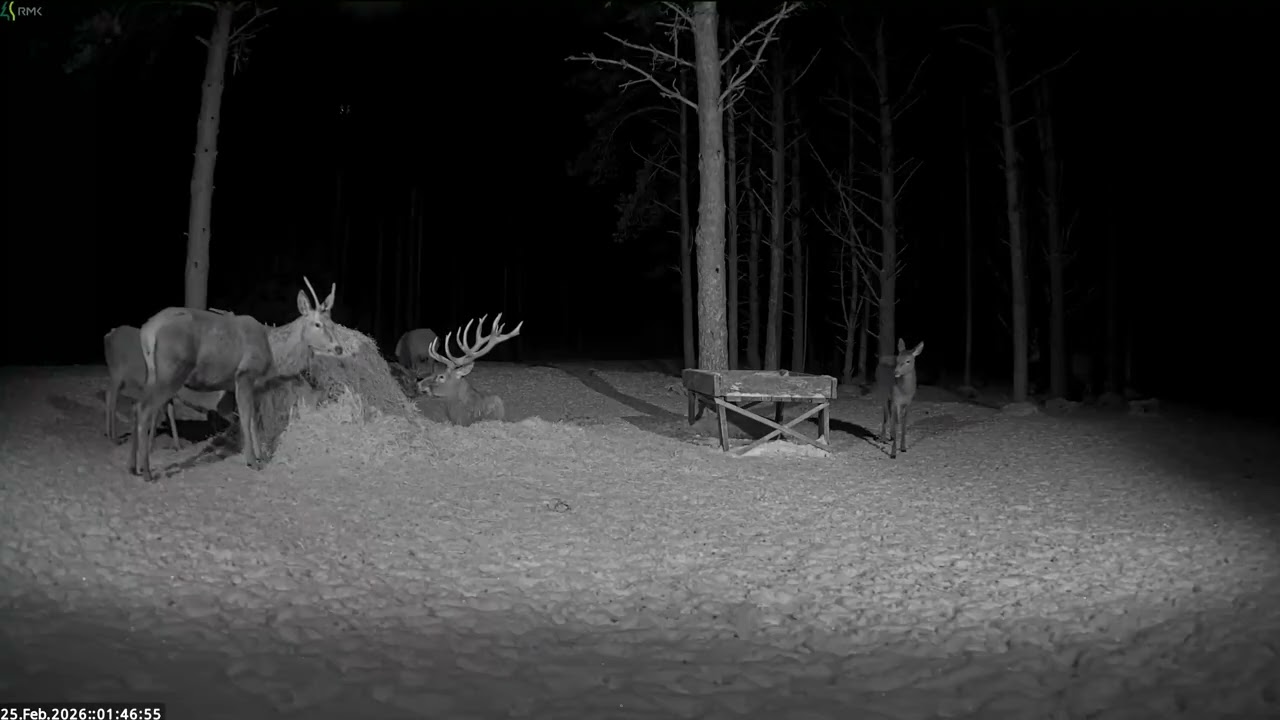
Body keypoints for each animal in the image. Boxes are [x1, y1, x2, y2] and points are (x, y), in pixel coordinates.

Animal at [129, 278, 344, 483]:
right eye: (317, 324)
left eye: (333, 324)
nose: (339, 348)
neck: (273, 354)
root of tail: (147, 332)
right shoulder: (244, 375)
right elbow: (246, 417)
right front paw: (252, 461)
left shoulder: (250, 386)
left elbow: (255, 421)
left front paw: (261, 457)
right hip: (172, 369)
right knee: (145, 408)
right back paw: (147, 472)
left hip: (152, 372)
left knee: (137, 405)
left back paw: (134, 467)